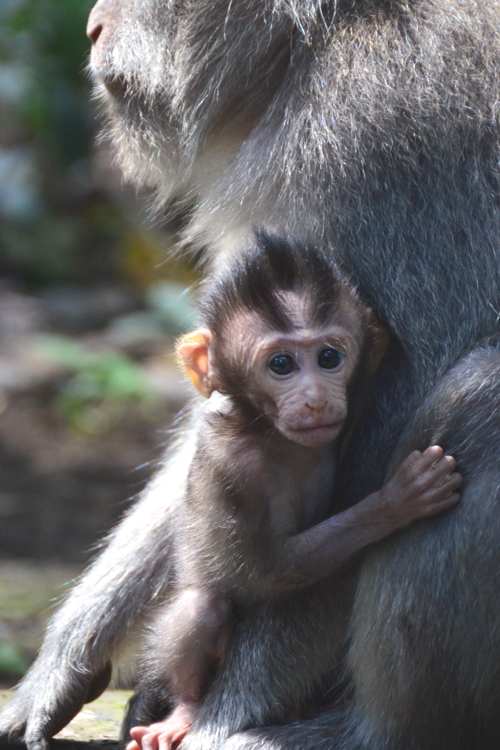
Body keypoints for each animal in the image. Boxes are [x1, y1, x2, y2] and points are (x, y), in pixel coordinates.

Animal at [128, 235, 460, 750]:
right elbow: (273, 569)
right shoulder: (235, 470)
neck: (270, 435)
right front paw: (397, 500)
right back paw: (183, 711)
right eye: (281, 365)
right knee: (203, 607)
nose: (316, 399)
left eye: (329, 358)